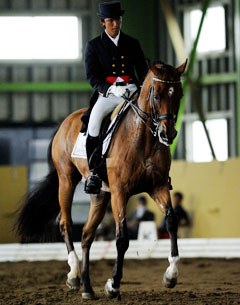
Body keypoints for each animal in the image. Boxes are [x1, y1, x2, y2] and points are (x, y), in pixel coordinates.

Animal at [15, 60, 188, 300]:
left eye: (179, 95)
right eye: (157, 95)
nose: (168, 134)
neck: (142, 138)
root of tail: (65, 122)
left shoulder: (158, 187)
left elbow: (171, 221)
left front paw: (171, 275)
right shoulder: (120, 192)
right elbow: (122, 238)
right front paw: (113, 284)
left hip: (100, 195)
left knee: (87, 234)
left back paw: (87, 288)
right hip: (67, 180)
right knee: (65, 223)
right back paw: (73, 275)